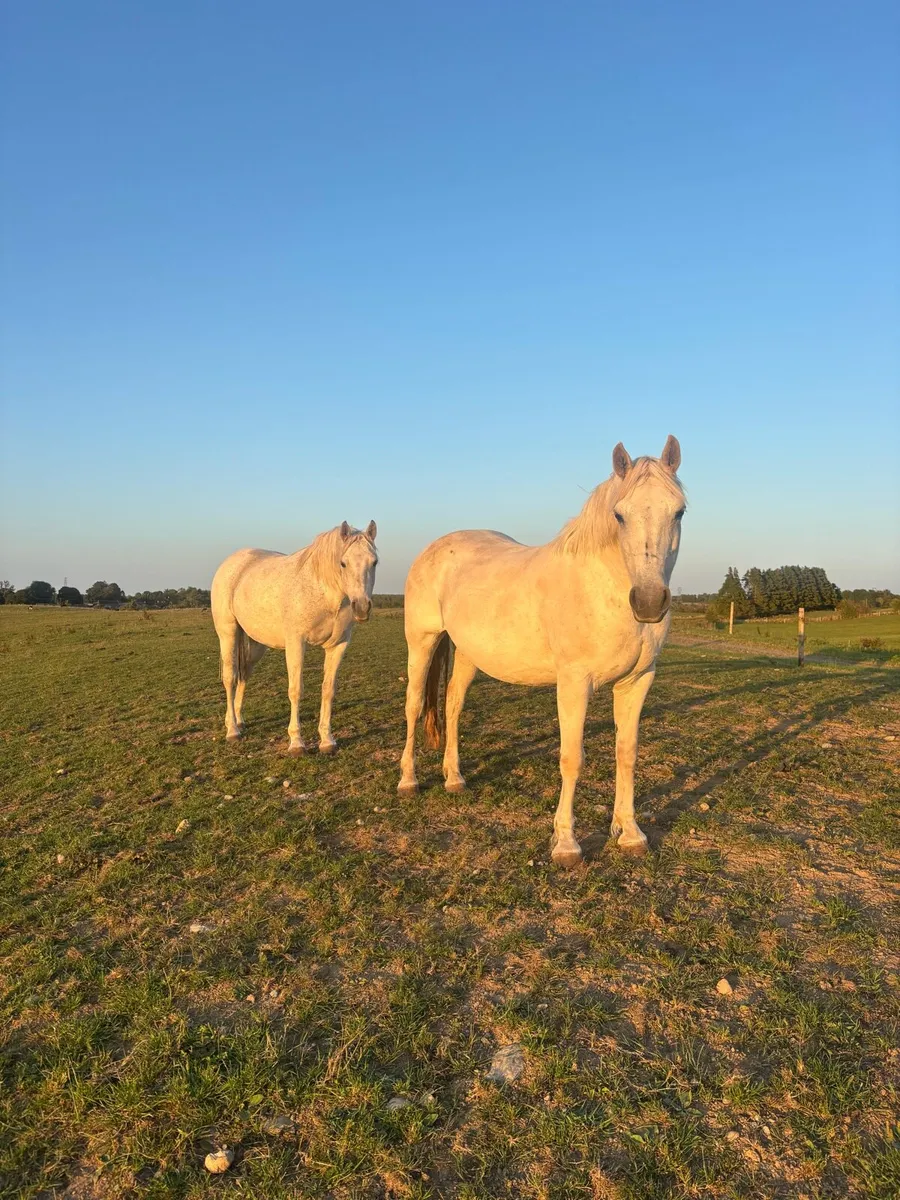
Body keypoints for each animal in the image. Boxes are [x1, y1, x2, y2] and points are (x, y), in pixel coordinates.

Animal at [211, 521, 378, 755]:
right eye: (343, 563)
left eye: (374, 562)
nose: (362, 608)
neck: (323, 591)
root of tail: (231, 562)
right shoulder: (296, 644)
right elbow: (296, 690)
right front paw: (297, 742)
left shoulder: (338, 645)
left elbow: (328, 690)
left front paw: (327, 740)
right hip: (228, 634)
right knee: (230, 678)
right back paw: (232, 730)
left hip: (255, 645)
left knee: (244, 676)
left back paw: (238, 720)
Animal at [398, 437, 685, 866]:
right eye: (619, 515)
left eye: (679, 511)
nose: (649, 602)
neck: (603, 588)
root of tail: (434, 548)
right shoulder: (574, 683)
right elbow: (572, 758)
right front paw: (566, 844)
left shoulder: (637, 682)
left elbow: (628, 753)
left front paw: (630, 834)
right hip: (422, 641)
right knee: (415, 705)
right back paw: (408, 781)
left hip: (466, 654)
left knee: (452, 707)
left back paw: (454, 779)